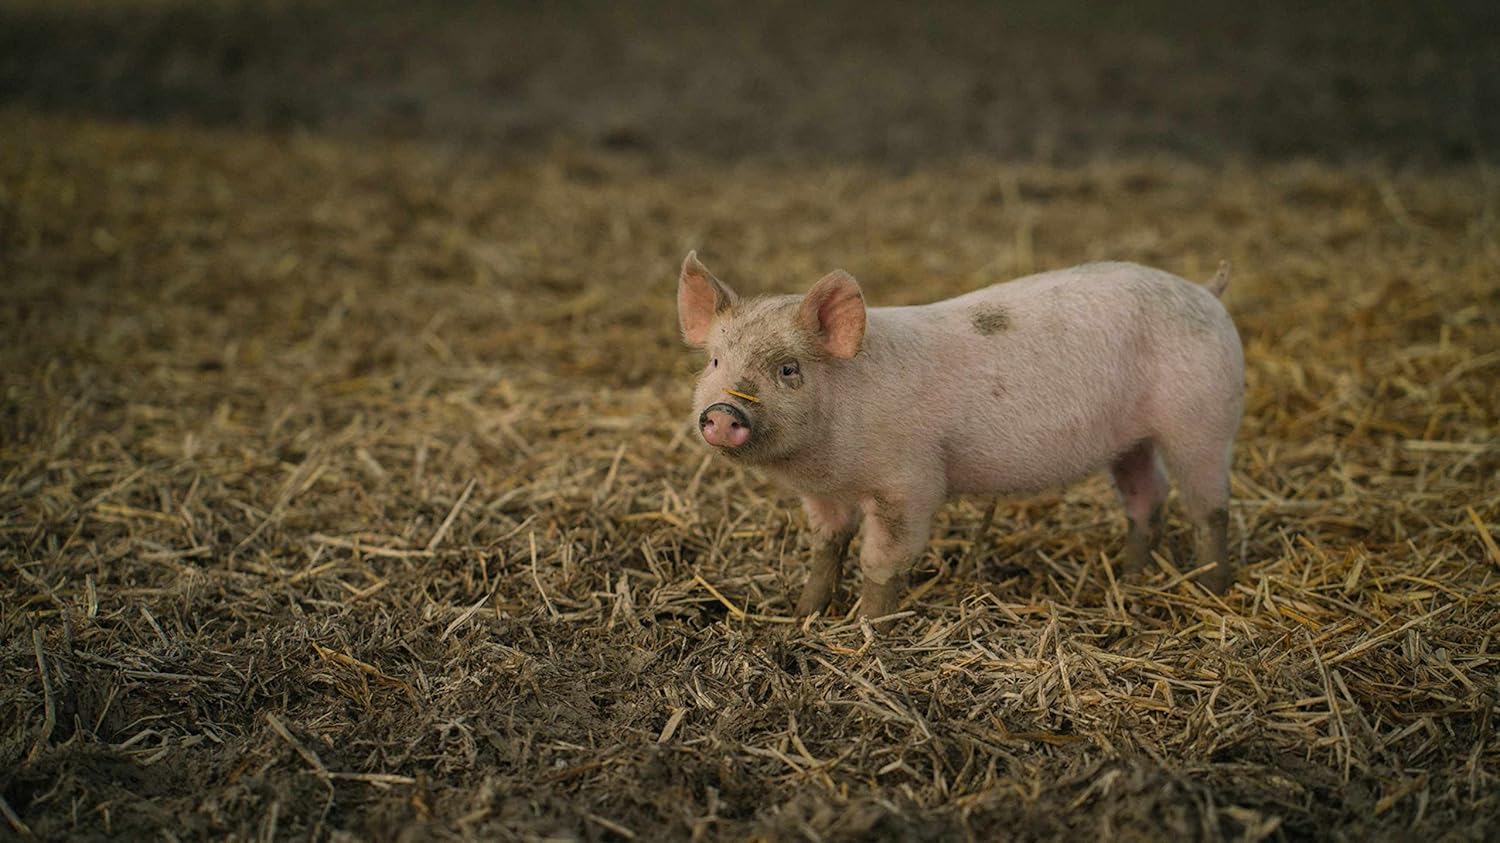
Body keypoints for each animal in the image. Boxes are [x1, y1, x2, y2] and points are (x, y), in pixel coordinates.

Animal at [677, 251, 1244, 627]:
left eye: (788, 369)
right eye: (715, 361)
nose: (722, 412)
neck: (825, 462)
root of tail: (1205, 291)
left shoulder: (910, 484)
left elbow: (880, 561)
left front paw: (867, 628)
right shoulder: (822, 496)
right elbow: (825, 548)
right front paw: (803, 615)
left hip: (1204, 418)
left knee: (1210, 507)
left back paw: (1212, 589)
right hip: (1132, 442)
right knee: (1147, 495)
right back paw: (1130, 576)